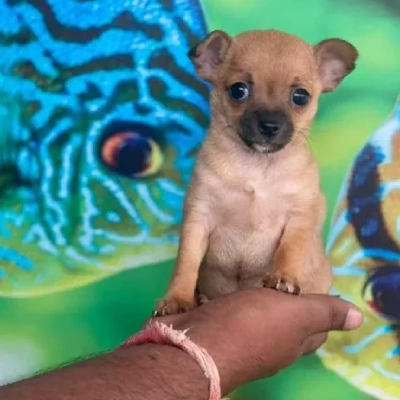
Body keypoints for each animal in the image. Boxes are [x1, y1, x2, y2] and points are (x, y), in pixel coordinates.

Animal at [154, 29, 360, 316]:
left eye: (301, 96)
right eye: (238, 90)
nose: (269, 125)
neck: (256, 166)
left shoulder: (300, 215)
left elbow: (290, 249)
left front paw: (283, 277)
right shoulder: (198, 217)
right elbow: (186, 264)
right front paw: (177, 299)